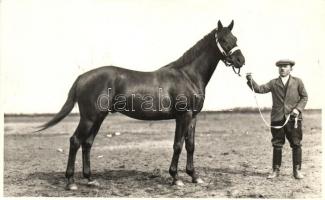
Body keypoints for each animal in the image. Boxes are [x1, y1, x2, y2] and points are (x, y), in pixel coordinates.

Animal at [38, 20, 244, 191]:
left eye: (235, 38)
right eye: (223, 39)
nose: (240, 60)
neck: (187, 76)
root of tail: (82, 77)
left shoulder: (193, 117)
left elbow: (191, 146)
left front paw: (194, 176)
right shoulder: (183, 116)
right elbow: (177, 145)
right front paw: (175, 178)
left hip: (98, 118)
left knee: (87, 144)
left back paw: (90, 179)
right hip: (89, 118)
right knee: (75, 141)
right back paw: (71, 182)